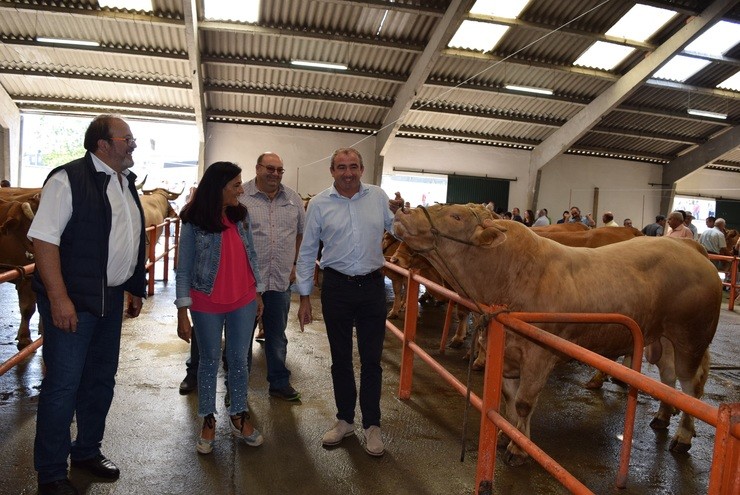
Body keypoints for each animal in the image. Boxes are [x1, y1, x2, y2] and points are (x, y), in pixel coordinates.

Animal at [396, 203, 720, 466]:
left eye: (456, 215)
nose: (403, 211)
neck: (507, 275)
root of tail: (690, 248)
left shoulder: (539, 353)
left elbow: (524, 402)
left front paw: (518, 449)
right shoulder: (508, 352)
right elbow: (509, 399)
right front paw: (508, 436)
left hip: (691, 338)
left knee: (692, 388)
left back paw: (683, 437)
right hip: (663, 340)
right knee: (669, 380)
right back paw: (662, 417)